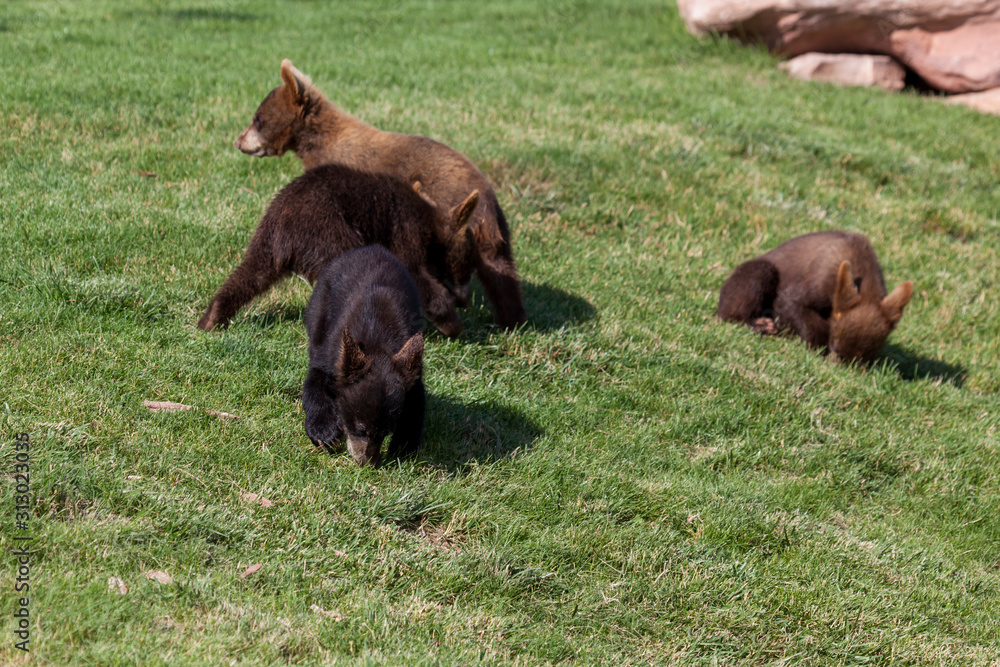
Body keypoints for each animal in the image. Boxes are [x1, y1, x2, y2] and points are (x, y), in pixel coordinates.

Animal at [197, 163, 479, 338]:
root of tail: (281, 226)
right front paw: (452, 324)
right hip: (328, 230)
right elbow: (416, 275)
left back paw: (211, 318)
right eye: (469, 262)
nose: (465, 301)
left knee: (249, 276)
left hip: (267, 244)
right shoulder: (405, 230)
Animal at [233, 59, 526, 331]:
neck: (319, 142)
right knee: (501, 274)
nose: (238, 141)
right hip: (493, 237)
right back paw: (512, 321)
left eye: (258, 120)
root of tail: (487, 201)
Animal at [302, 245, 425, 467]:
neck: (377, 339)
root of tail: (372, 247)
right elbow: (315, 378)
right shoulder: (331, 351)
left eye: (387, 431)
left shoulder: (410, 366)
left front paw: (403, 448)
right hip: (320, 306)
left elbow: (416, 399)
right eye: (360, 429)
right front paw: (324, 432)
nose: (367, 464)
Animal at [717, 231, 914, 363]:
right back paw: (760, 324)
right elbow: (802, 316)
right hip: (760, 272)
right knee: (728, 313)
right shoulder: (805, 290)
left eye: (867, 357)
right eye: (835, 348)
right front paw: (817, 348)